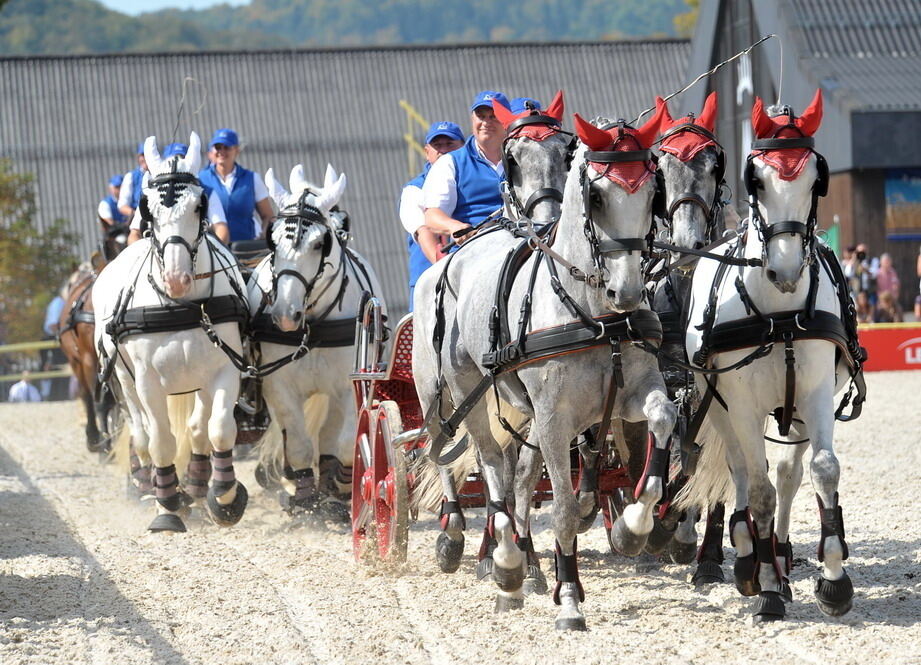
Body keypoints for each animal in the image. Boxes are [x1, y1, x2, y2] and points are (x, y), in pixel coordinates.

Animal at [93, 132, 248, 532]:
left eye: (200, 205)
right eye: (147, 208)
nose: (177, 279)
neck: (180, 305)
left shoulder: (224, 369)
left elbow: (218, 429)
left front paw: (224, 498)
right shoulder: (147, 380)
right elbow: (161, 440)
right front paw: (167, 506)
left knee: (196, 428)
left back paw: (194, 487)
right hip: (123, 380)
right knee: (143, 434)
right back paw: (155, 488)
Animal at [248, 163, 384, 520]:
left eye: (321, 242)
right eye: (272, 241)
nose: (285, 314)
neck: (315, 324)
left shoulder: (349, 383)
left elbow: (347, 442)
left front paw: (340, 490)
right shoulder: (278, 386)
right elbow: (297, 445)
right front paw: (305, 498)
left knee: (329, 435)